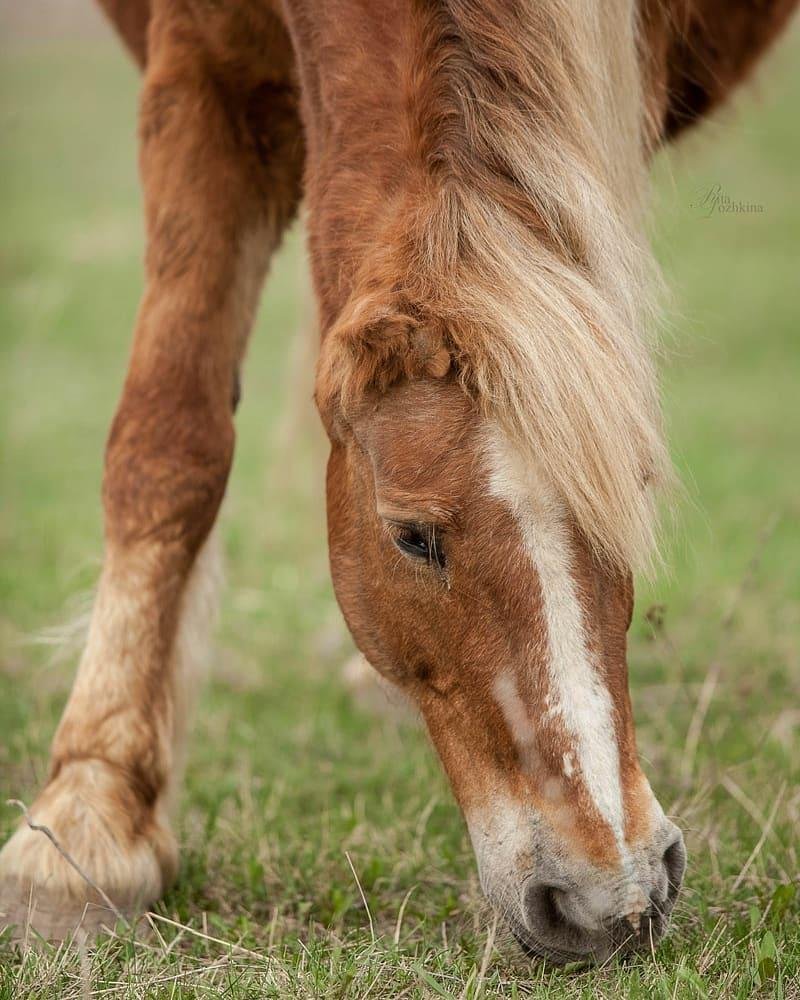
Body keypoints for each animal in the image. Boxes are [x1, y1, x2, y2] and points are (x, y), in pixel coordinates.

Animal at [1, 0, 796, 964]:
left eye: (635, 493)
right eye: (411, 536)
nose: (611, 896)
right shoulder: (200, 76)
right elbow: (168, 443)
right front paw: (85, 824)